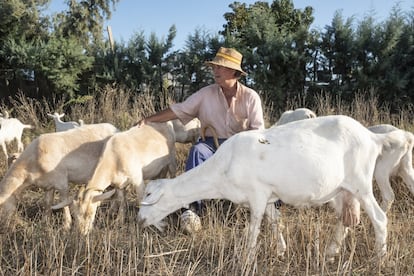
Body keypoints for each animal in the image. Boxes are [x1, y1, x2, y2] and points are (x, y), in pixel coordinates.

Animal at [138, 115, 402, 260]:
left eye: (149, 195)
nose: (139, 220)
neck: (221, 170)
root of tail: (372, 137)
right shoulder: (267, 196)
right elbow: (275, 222)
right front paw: (281, 250)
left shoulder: (257, 194)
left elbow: (254, 228)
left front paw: (246, 258)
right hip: (339, 190)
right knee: (345, 220)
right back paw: (331, 251)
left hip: (361, 183)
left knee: (379, 219)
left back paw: (379, 257)